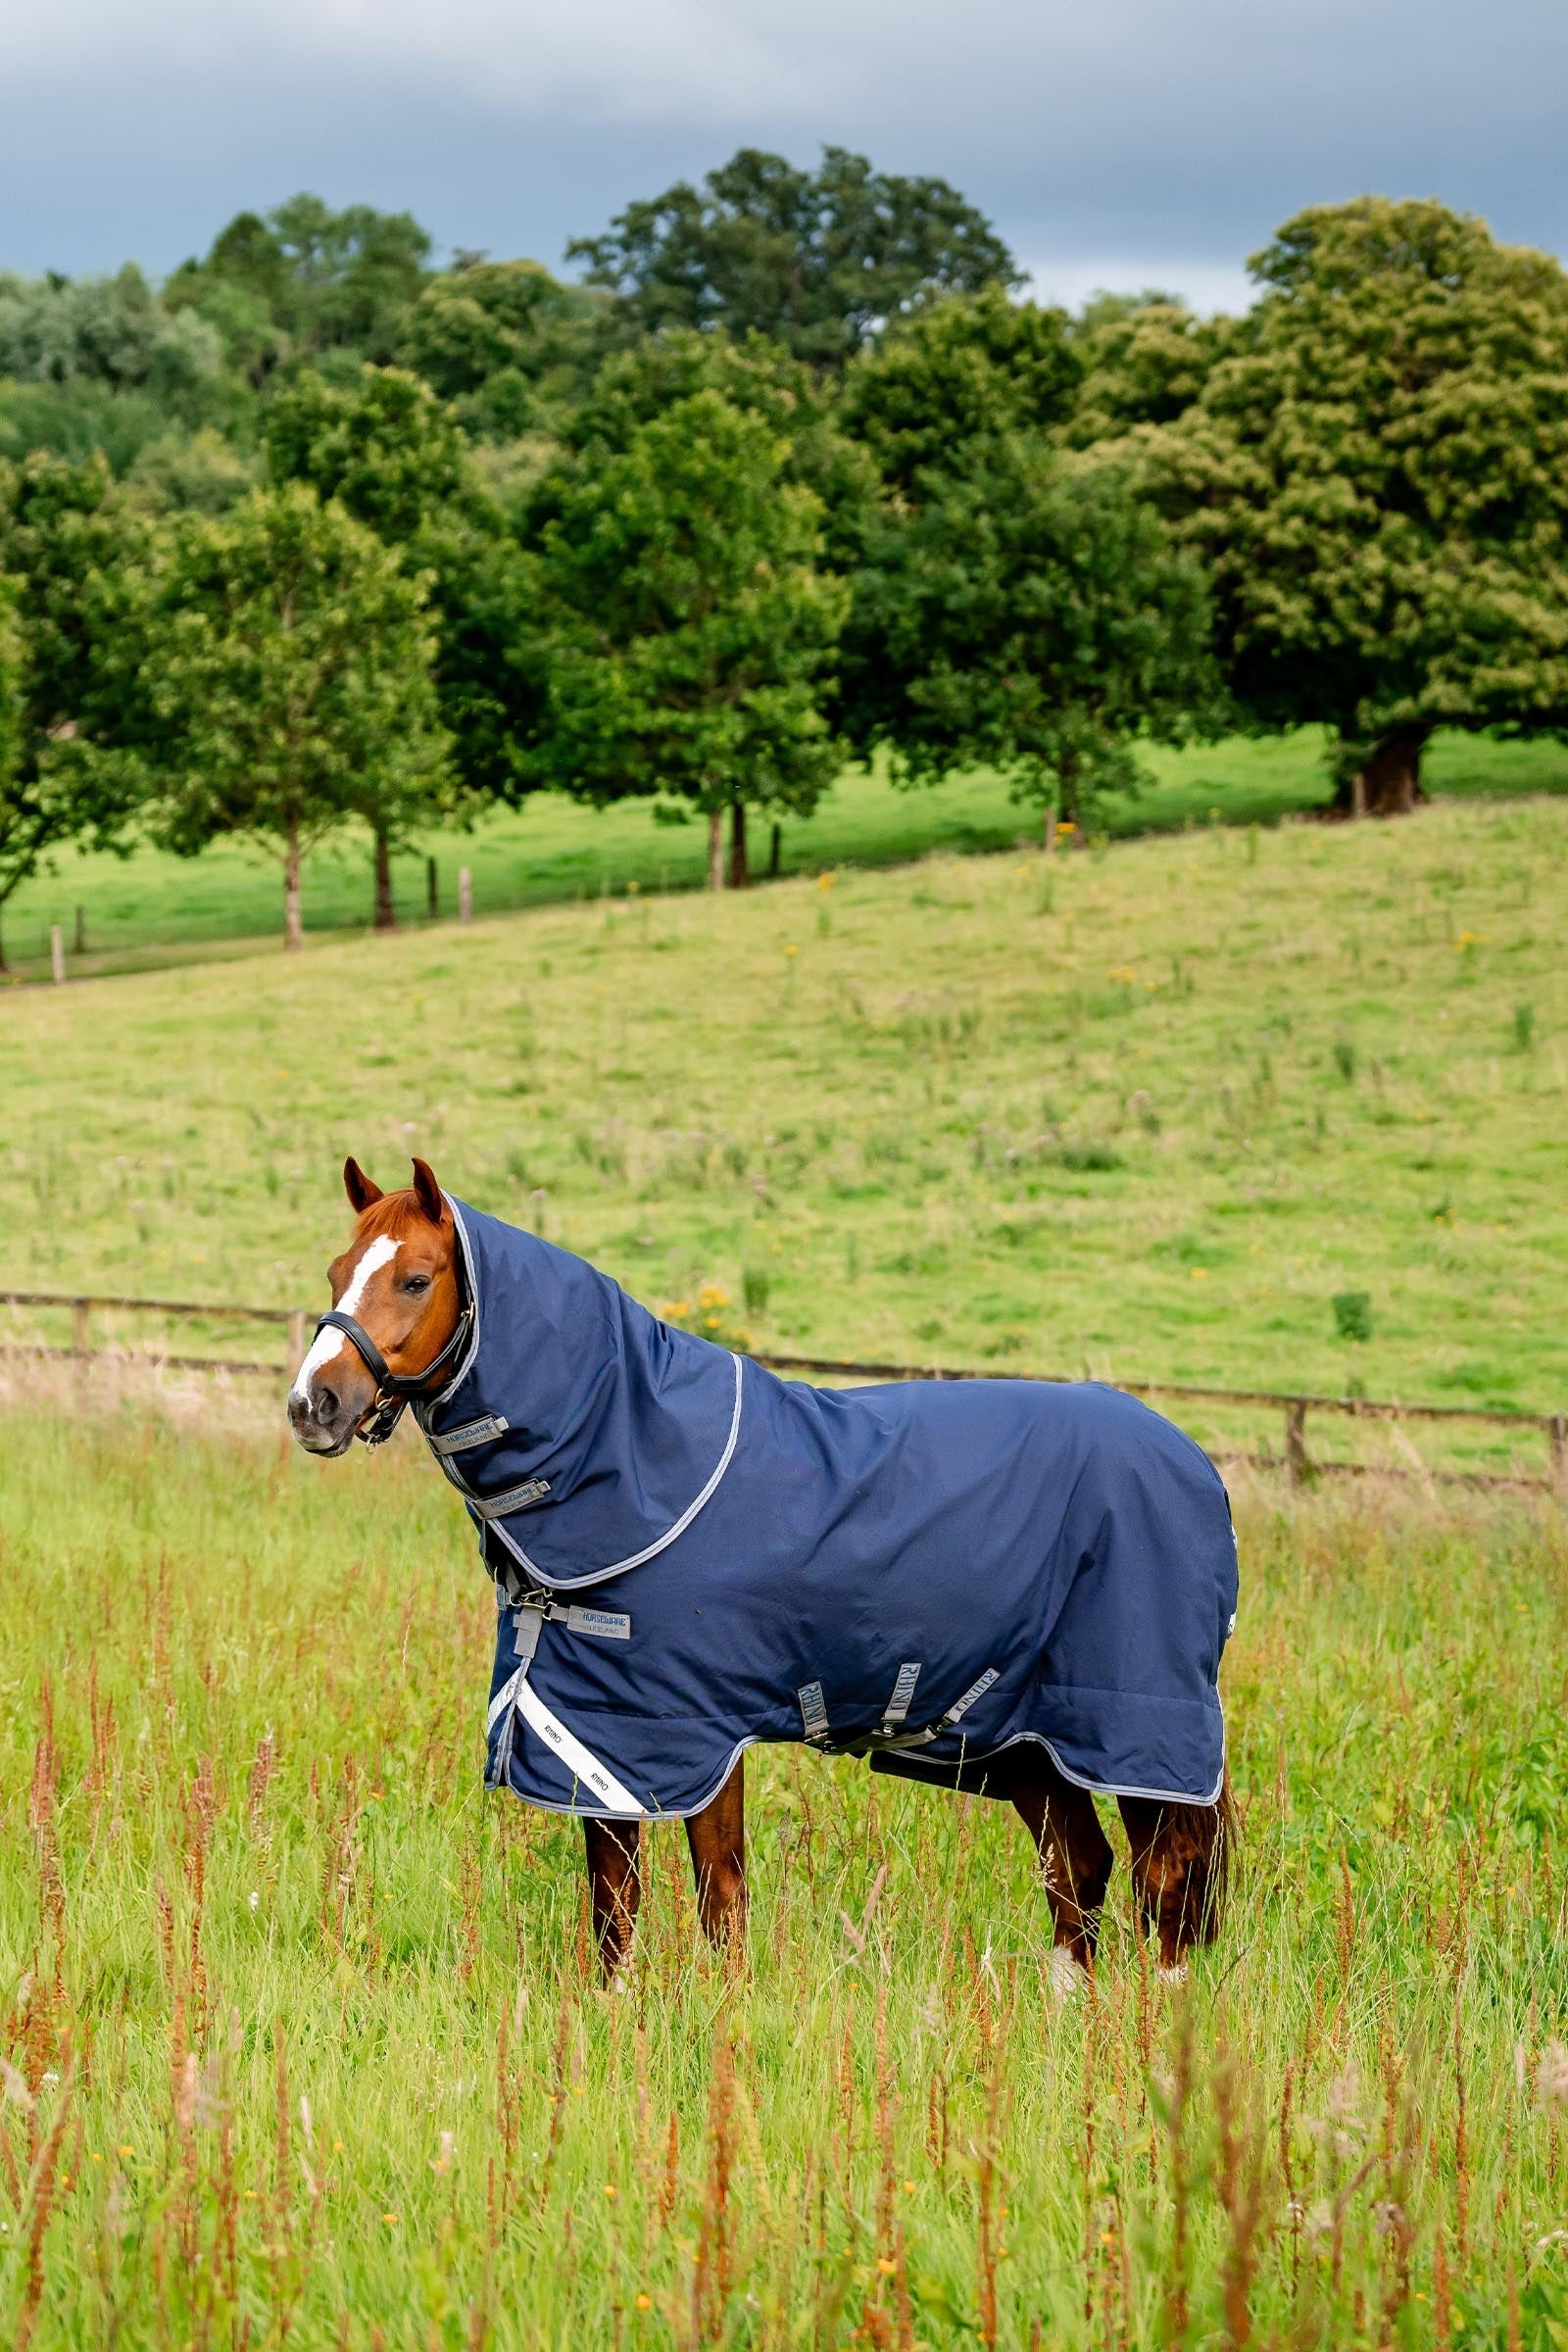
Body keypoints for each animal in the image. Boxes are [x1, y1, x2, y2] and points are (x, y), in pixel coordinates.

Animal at [288, 1157, 1237, 1985]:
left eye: (415, 1279)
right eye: (336, 1271)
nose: (312, 1405)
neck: (635, 1454)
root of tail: (1193, 1461)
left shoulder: (694, 1732)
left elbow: (719, 1897)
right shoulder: (594, 1732)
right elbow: (613, 1903)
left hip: (1139, 1729)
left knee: (1168, 1881)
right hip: (1031, 1738)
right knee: (1078, 1870)